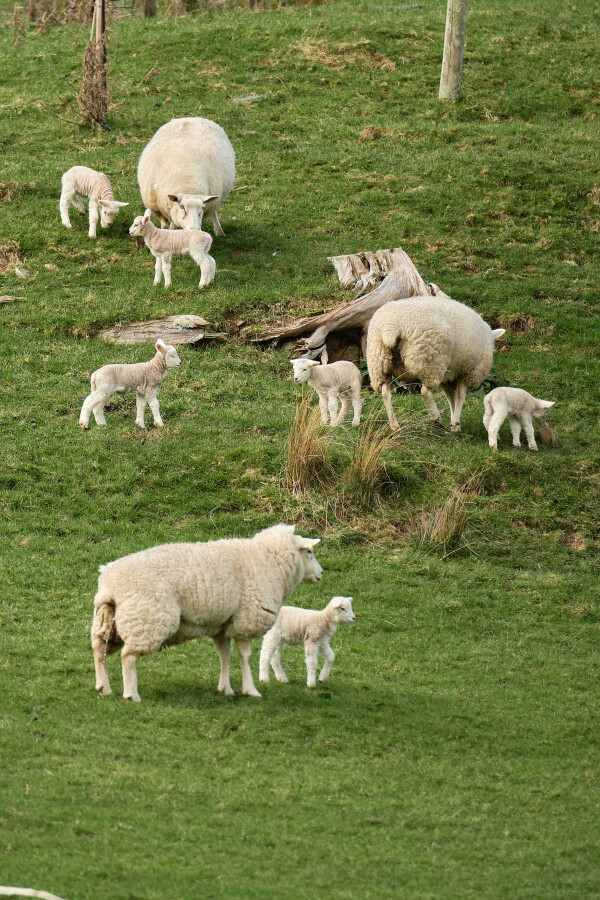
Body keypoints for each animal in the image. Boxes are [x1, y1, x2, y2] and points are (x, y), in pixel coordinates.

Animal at [91, 523, 323, 702]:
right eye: (310, 552)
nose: (321, 573)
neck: (267, 561)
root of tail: (108, 583)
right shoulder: (246, 622)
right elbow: (245, 657)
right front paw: (251, 690)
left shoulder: (222, 625)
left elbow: (225, 655)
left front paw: (225, 688)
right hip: (146, 619)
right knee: (128, 657)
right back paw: (131, 694)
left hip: (110, 621)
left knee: (99, 649)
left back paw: (103, 687)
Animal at [366, 296, 505, 432]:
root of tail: (391, 327)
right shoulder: (469, 372)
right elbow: (460, 396)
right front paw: (456, 424)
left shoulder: (448, 375)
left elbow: (450, 397)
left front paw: (453, 421)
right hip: (431, 362)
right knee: (425, 392)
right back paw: (437, 419)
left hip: (379, 364)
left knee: (386, 392)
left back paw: (395, 425)